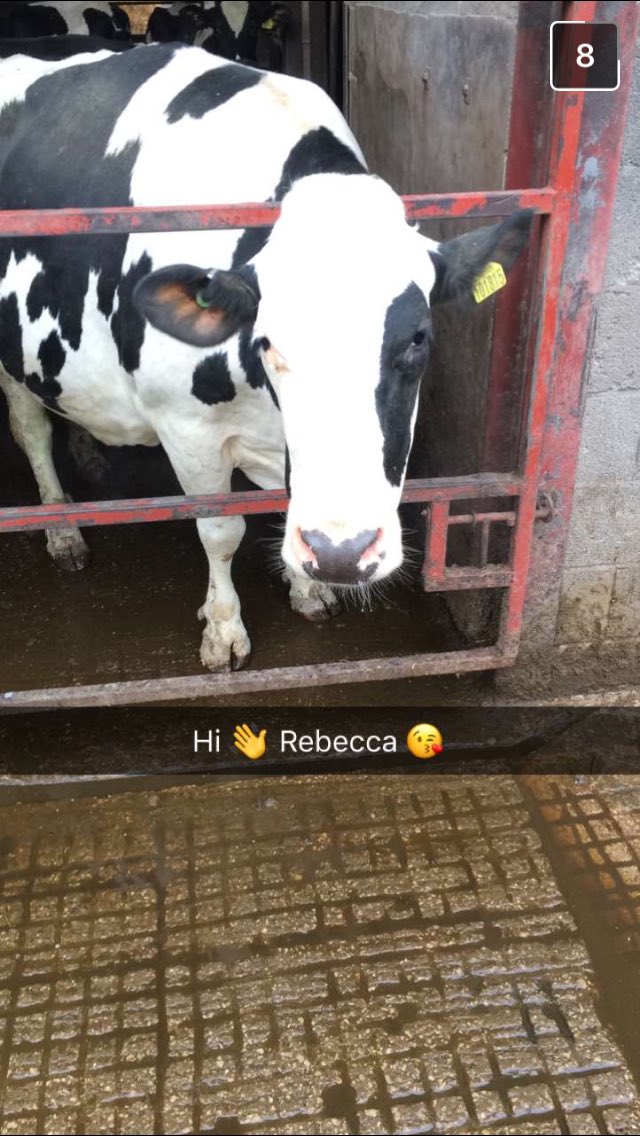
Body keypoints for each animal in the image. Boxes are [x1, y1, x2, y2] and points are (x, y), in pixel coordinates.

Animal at [0, 44, 532, 671]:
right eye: (267, 339)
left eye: (418, 337)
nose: (343, 553)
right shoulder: (186, 427)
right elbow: (220, 531)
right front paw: (223, 628)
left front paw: (309, 588)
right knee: (31, 429)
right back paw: (62, 531)